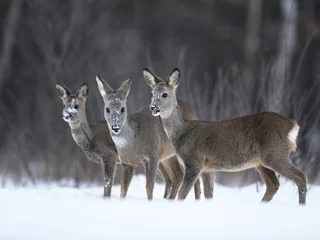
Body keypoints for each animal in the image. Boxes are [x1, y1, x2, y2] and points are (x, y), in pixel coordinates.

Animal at [143, 67, 308, 204]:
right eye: (152, 94)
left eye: (165, 94)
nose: (153, 107)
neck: (182, 132)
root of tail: (292, 125)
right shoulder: (208, 168)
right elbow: (208, 194)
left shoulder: (194, 162)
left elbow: (182, 194)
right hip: (260, 161)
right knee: (273, 184)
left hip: (274, 153)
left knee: (301, 177)